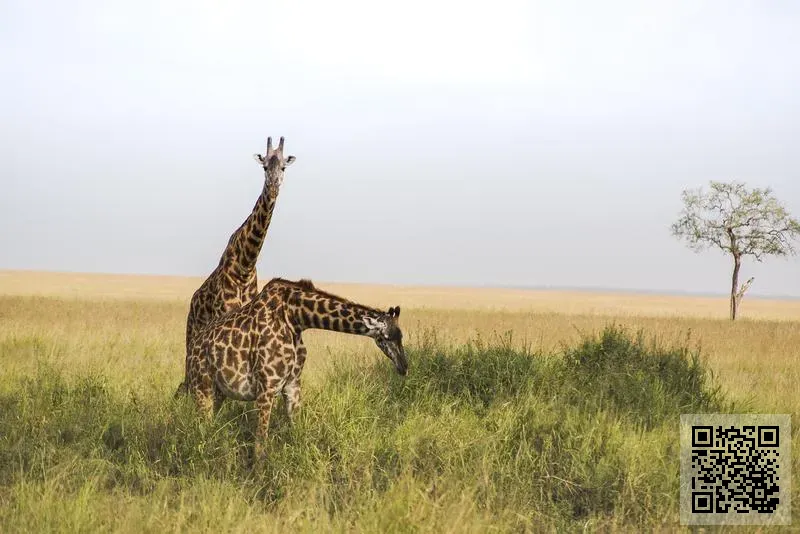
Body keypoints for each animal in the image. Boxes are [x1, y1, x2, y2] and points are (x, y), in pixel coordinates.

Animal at [175, 137, 296, 398]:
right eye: (264, 167)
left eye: (283, 167)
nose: (273, 186)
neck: (245, 263)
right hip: (192, 334)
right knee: (188, 377)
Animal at [184, 276, 404, 456]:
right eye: (385, 337)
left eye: (401, 336)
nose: (404, 366)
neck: (296, 317)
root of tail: (192, 347)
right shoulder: (267, 386)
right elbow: (260, 444)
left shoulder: (292, 385)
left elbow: (297, 433)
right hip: (201, 386)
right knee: (201, 429)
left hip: (218, 392)